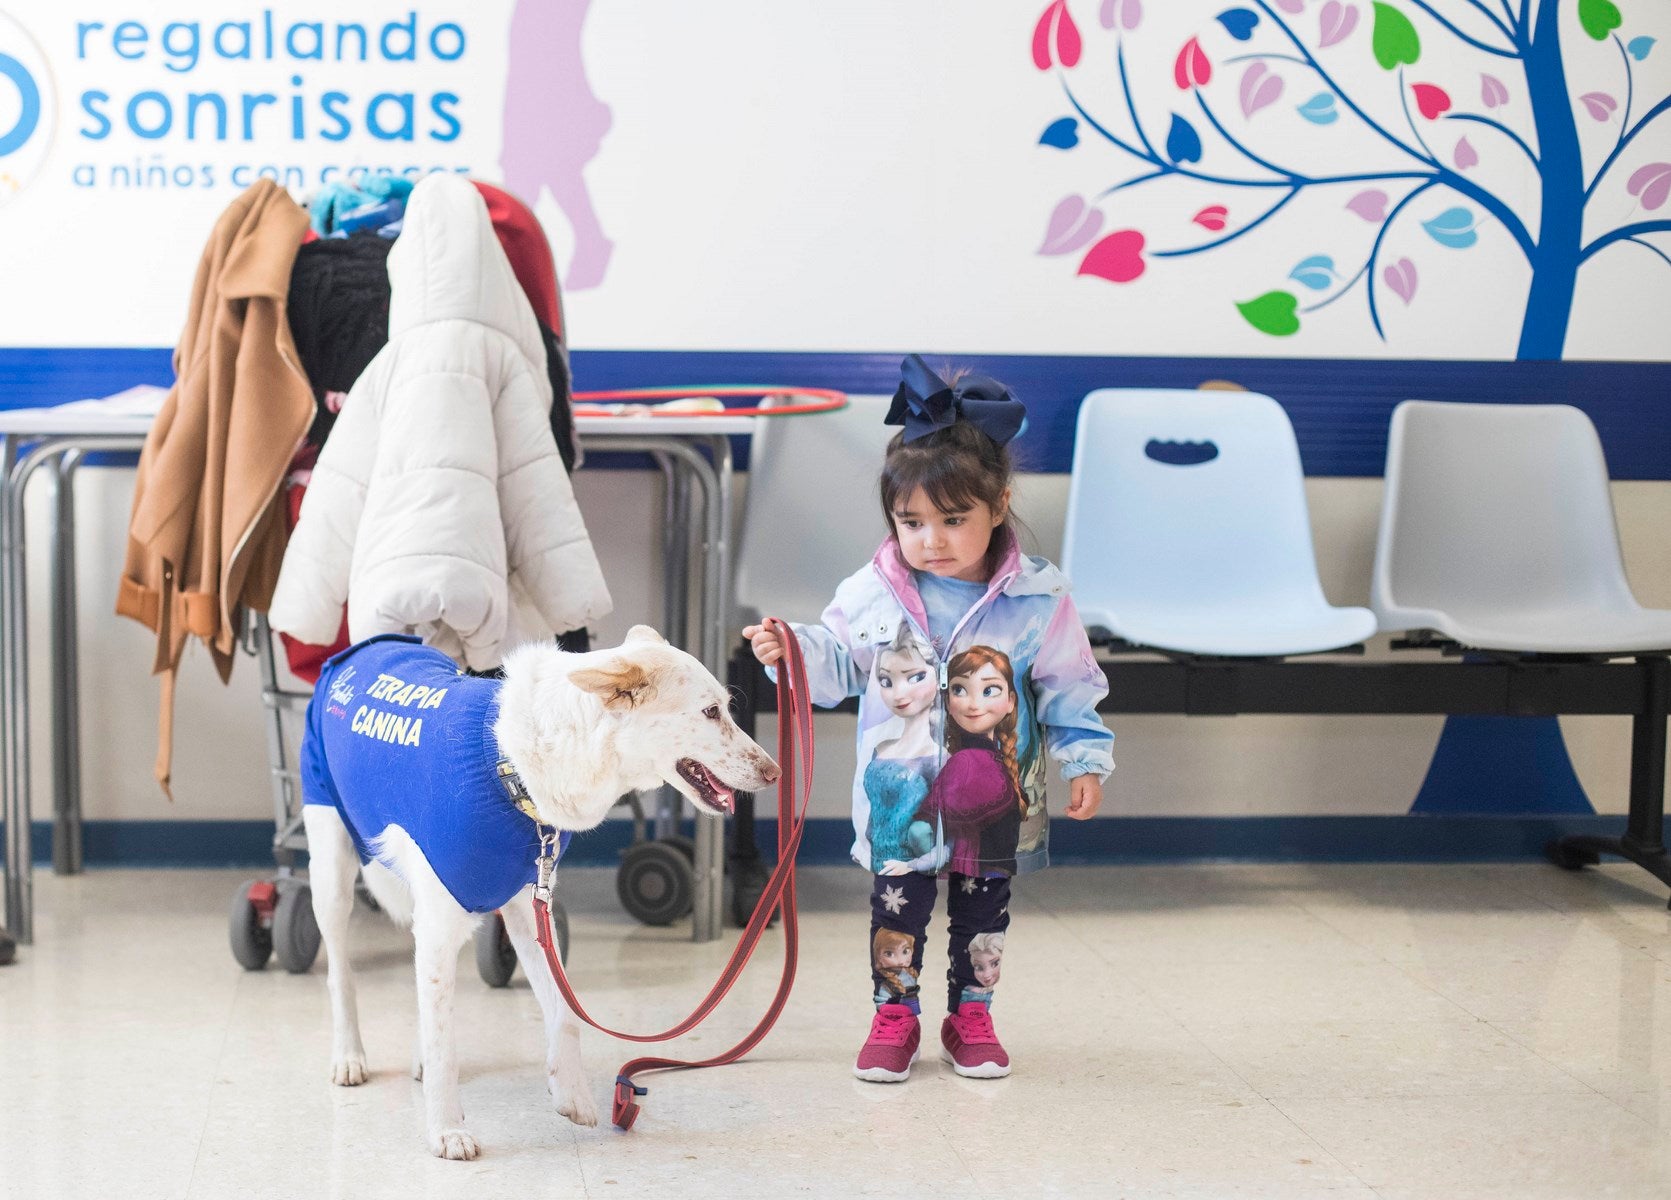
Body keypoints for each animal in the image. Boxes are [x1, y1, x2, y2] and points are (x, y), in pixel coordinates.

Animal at [297, 625, 778, 1163]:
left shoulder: (532, 910)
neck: (510, 771)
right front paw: (446, 1129)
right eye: (711, 712)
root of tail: (364, 645)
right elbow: (446, 1046)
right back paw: (349, 1055)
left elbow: (564, 1012)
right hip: (331, 868)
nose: (775, 772)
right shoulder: (444, 925)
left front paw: (571, 1092)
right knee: (341, 975)